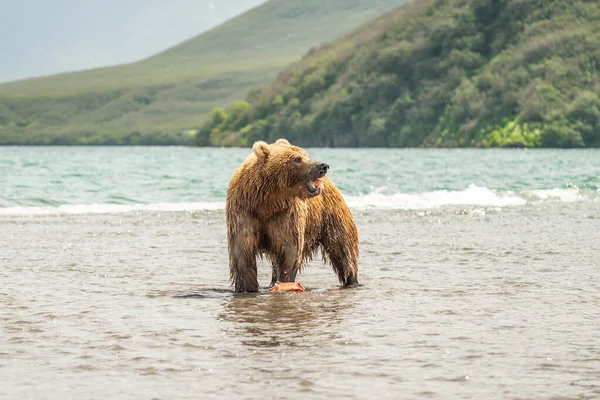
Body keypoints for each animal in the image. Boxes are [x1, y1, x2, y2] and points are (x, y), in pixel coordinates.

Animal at [224, 139, 356, 292]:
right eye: (297, 159)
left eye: (307, 155)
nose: (323, 166)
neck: (267, 202)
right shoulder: (244, 212)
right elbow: (243, 253)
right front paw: (248, 287)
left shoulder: (286, 216)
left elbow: (289, 252)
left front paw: (285, 282)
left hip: (332, 215)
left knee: (343, 249)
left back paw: (352, 279)